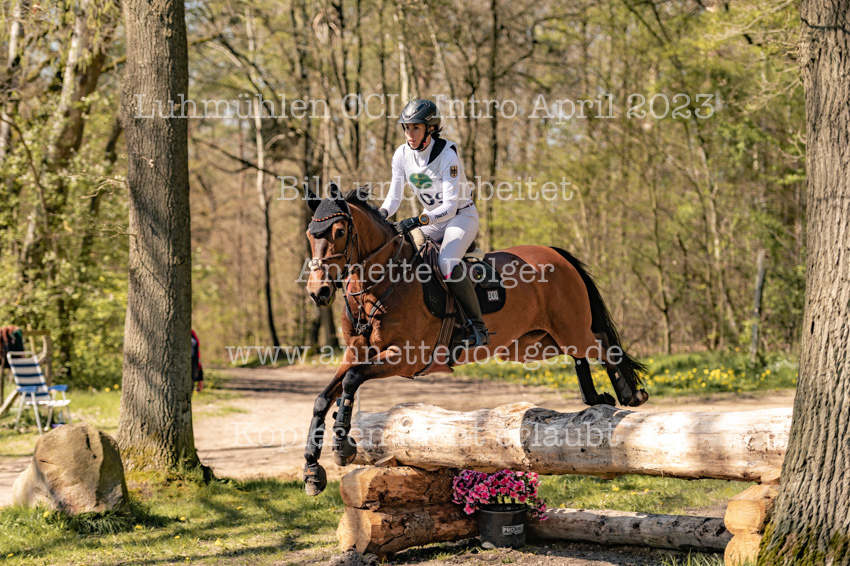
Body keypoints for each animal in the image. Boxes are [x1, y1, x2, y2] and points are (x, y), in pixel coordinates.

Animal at [302, 185, 648, 495]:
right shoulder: (355, 354)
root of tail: (556, 254)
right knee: (583, 351)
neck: (380, 283)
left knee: (601, 342)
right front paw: (312, 470)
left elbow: (351, 381)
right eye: (310, 235)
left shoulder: (406, 357)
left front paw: (343, 447)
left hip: (566, 330)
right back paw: (595, 397)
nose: (318, 292)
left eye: (339, 231)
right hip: (536, 344)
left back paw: (631, 394)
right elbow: (323, 397)